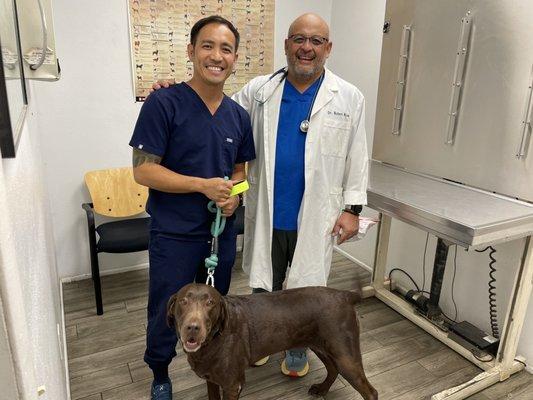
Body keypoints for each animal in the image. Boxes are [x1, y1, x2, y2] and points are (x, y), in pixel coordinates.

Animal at [168, 282, 376, 398]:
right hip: (321, 346)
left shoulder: (233, 385)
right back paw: (322, 389)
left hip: (345, 356)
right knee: (333, 369)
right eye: (183, 302)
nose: (193, 328)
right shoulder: (211, 380)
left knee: (370, 392)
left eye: (210, 303)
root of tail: (345, 294)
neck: (211, 343)